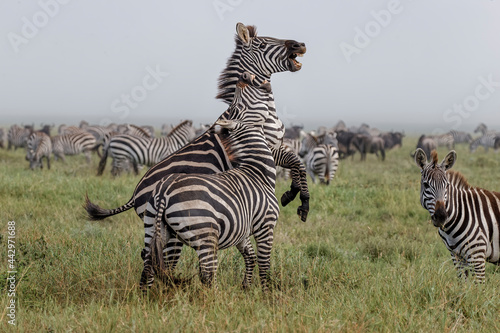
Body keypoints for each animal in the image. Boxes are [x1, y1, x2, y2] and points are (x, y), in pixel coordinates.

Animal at [117, 120, 280, 290]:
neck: (257, 173)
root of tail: (163, 191)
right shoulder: (266, 225)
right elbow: (264, 263)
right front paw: (266, 292)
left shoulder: (242, 230)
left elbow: (250, 257)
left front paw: (246, 287)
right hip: (205, 234)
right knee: (208, 273)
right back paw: (215, 296)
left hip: (153, 226)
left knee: (149, 263)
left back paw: (146, 294)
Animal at [414, 149, 500, 282]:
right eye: (426, 185)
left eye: (447, 185)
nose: (441, 217)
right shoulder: (457, 256)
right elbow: (463, 284)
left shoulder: (477, 256)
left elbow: (479, 286)